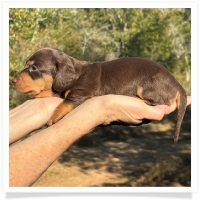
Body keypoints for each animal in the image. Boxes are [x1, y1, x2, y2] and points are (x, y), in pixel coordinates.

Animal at [12, 47, 188, 143]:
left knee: (158, 102)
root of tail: (177, 83)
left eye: (34, 68)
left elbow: (66, 102)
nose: (12, 80)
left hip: (148, 87)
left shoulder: (82, 91)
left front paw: (54, 117)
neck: (76, 73)